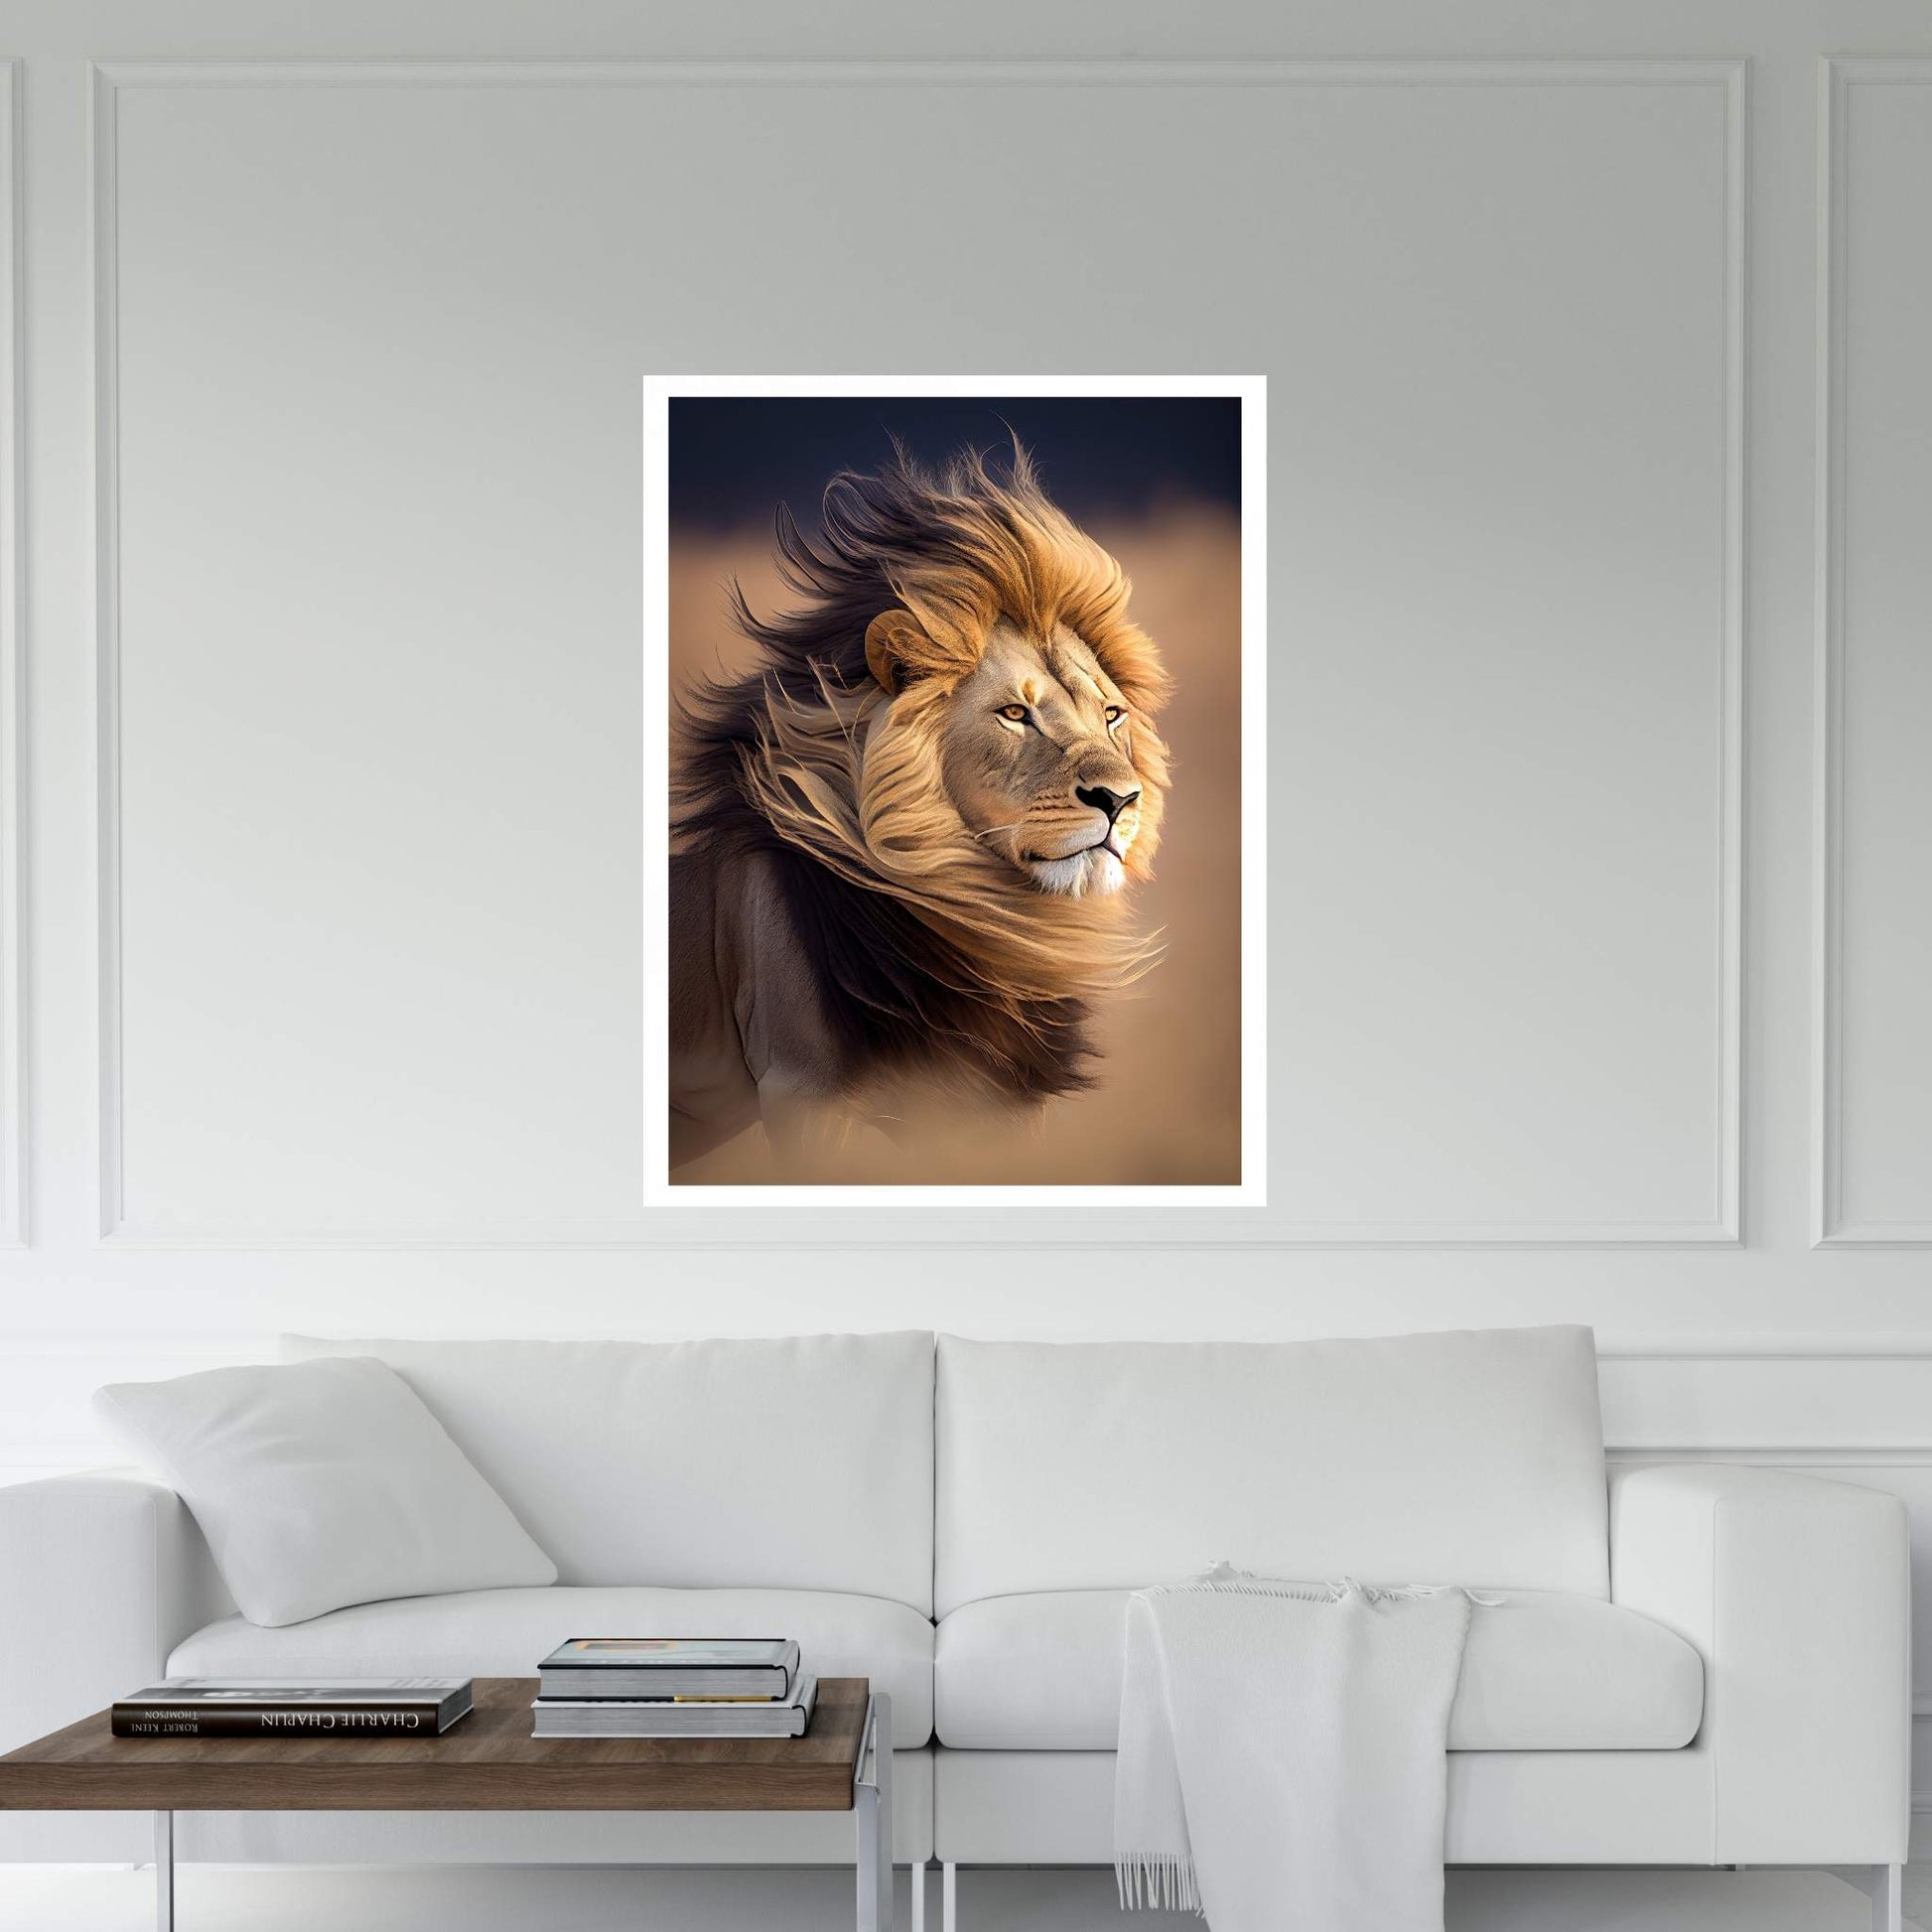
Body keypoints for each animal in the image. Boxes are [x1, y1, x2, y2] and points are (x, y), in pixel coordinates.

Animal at [668, 441, 1172, 1172]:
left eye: (1111, 714)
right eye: (1015, 714)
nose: (1120, 799)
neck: (985, 925)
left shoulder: (998, 1103)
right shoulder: (804, 1092)